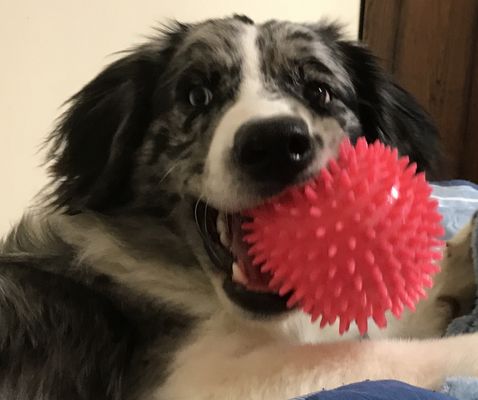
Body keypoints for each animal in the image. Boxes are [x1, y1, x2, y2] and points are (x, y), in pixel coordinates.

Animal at [0, 15, 478, 400]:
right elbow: (370, 352)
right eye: (197, 95)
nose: (276, 145)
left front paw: (454, 267)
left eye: (319, 92)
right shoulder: (195, 382)